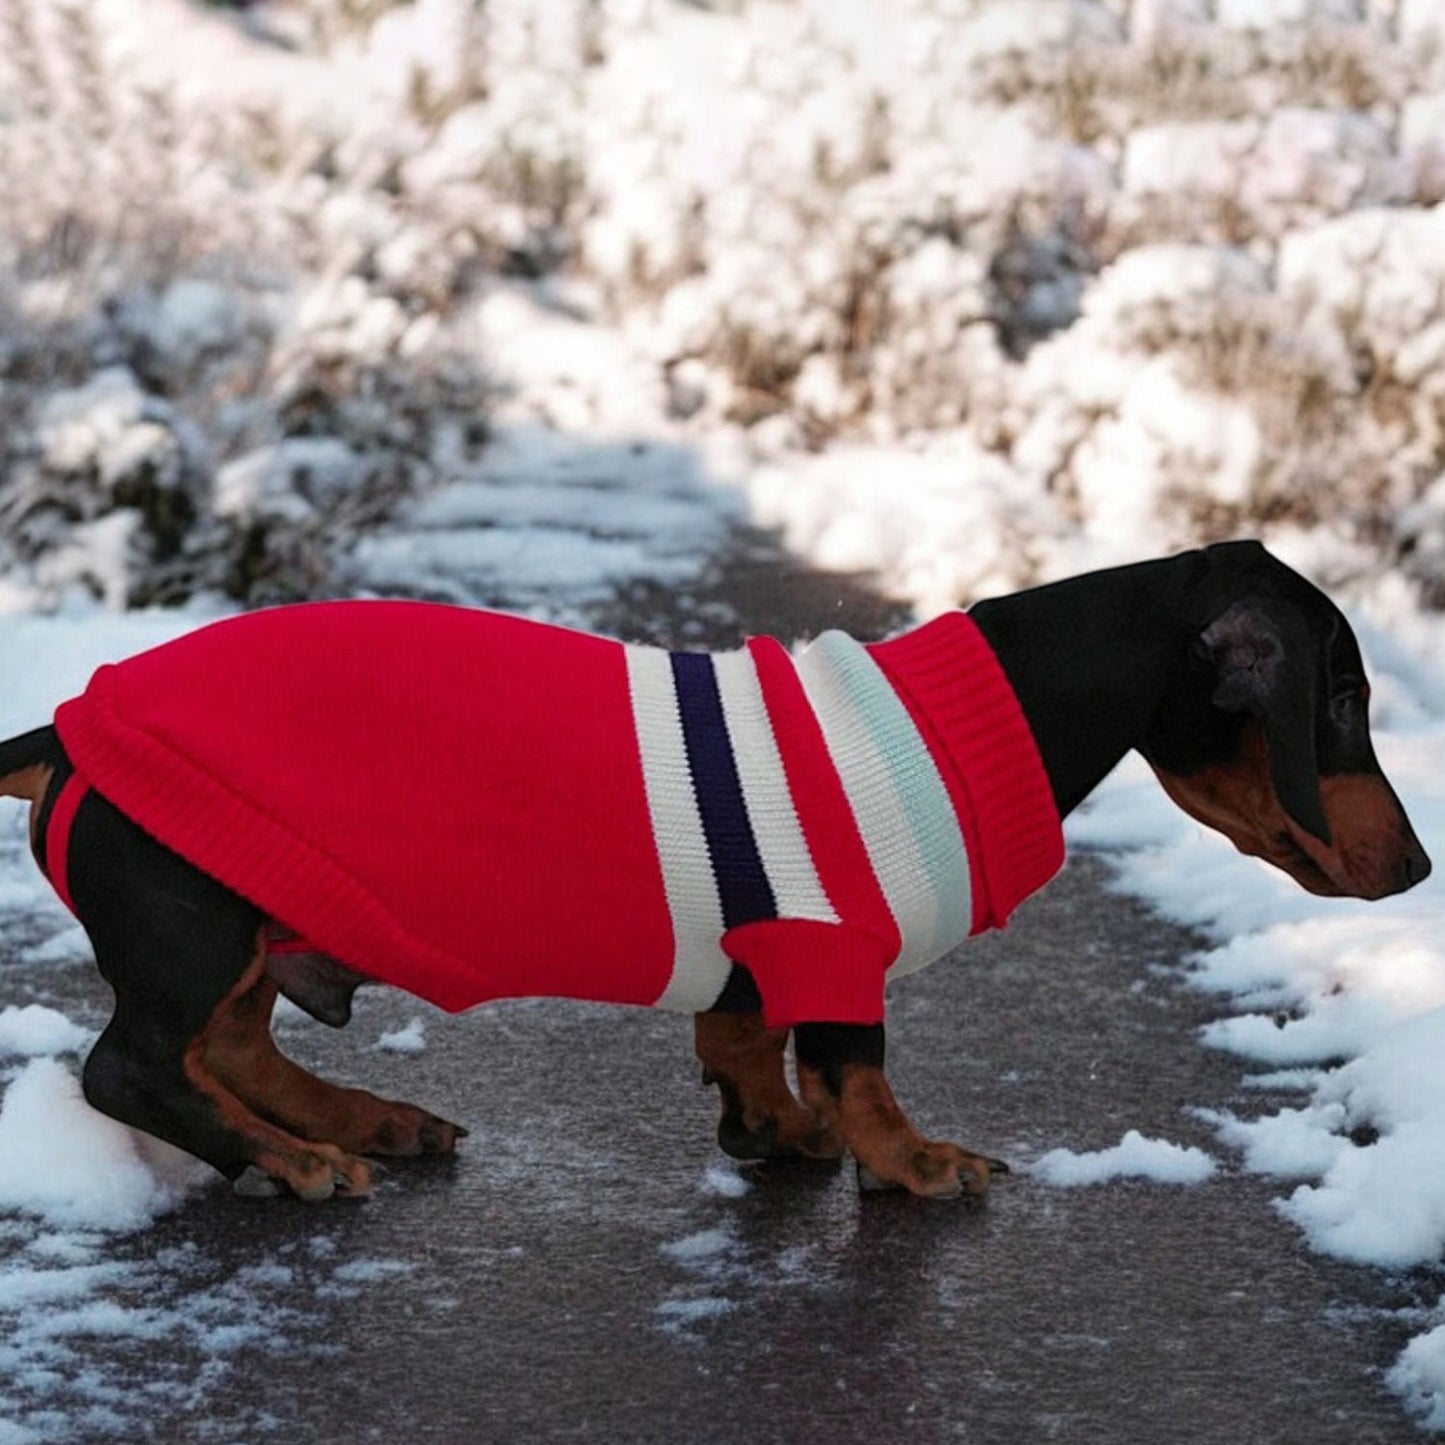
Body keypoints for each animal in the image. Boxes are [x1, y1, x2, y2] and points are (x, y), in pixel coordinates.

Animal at [0, 540, 1427, 1196]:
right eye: (1339, 702)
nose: (1420, 866)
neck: (981, 711)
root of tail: (70, 723)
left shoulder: (762, 953)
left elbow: (748, 1043)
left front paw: (772, 1130)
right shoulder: (835, 945)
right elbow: (858, 1065)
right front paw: (910, 1159)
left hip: (243, 917)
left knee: (231, 1050)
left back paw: (359, 1120)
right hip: (195, 911)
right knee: (133, 1066)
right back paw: (291, 1160)